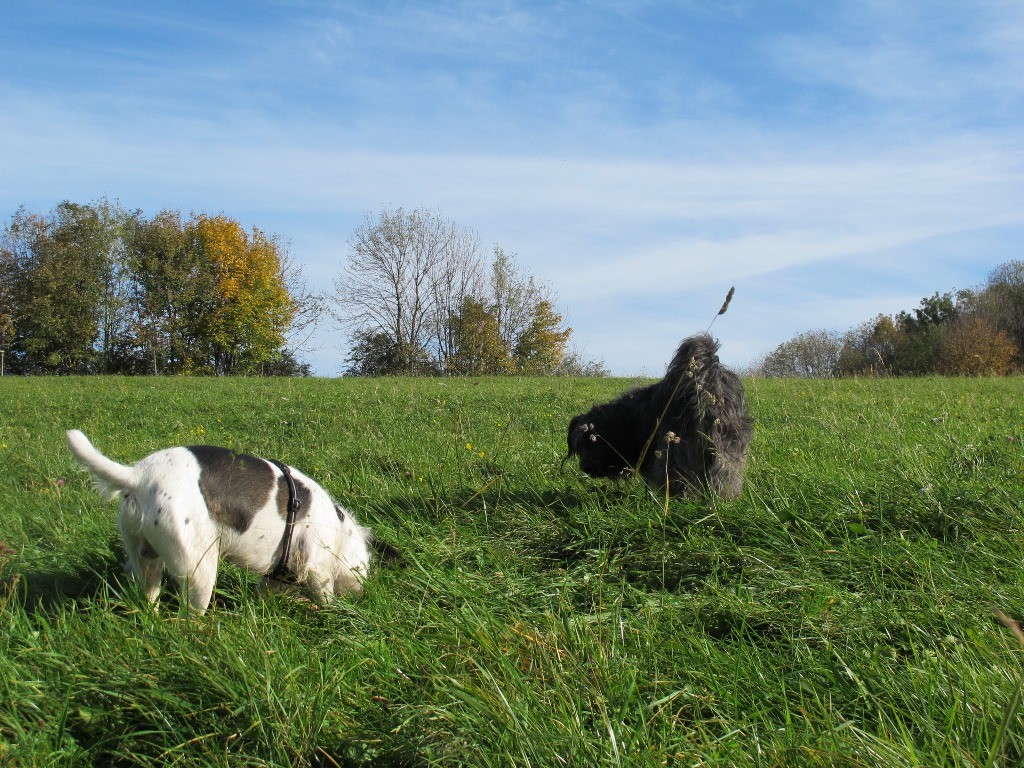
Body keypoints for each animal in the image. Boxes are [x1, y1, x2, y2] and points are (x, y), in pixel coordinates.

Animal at [64, 430, 370, 618]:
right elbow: (325, 596)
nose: (366, 594)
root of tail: (138, 476)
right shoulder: (318, 566)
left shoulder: (276, 575)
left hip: (145, 558)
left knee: (149, 597)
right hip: (199, 566)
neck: (341, 531)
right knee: (189, 617)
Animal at [565, 335, 757, 499]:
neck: (625, 421)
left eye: (590, 442)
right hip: (727, 451)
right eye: (578, 447)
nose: (584, 468)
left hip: (675, 452)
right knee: (724, 476)